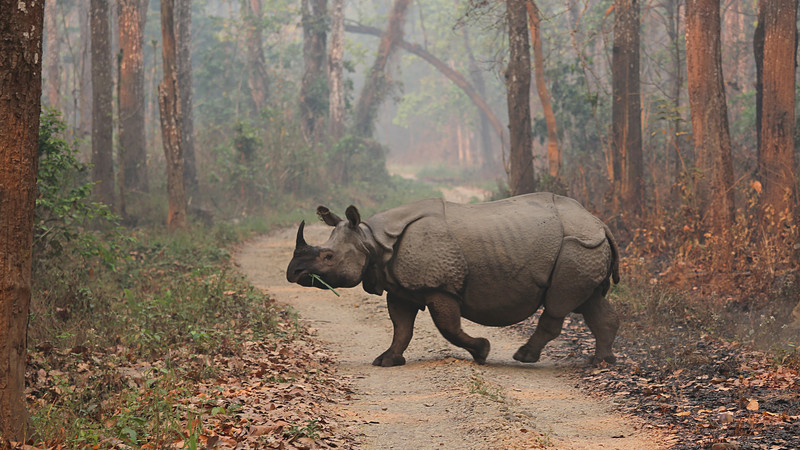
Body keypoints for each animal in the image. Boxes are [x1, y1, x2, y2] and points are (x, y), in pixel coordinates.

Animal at [284, 192, 620, 366]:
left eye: (328, 257)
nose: (292, 273)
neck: (372, 240)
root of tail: (600, 222)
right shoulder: (400, 287)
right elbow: (401, 327)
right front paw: (387, 360)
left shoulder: (439, 286)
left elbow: (448, 326)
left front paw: (482, 352)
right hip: (585, 246)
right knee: (590, 301)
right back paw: (602, 362)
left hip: (577, 245)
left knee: (559, 302)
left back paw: (524, 357)